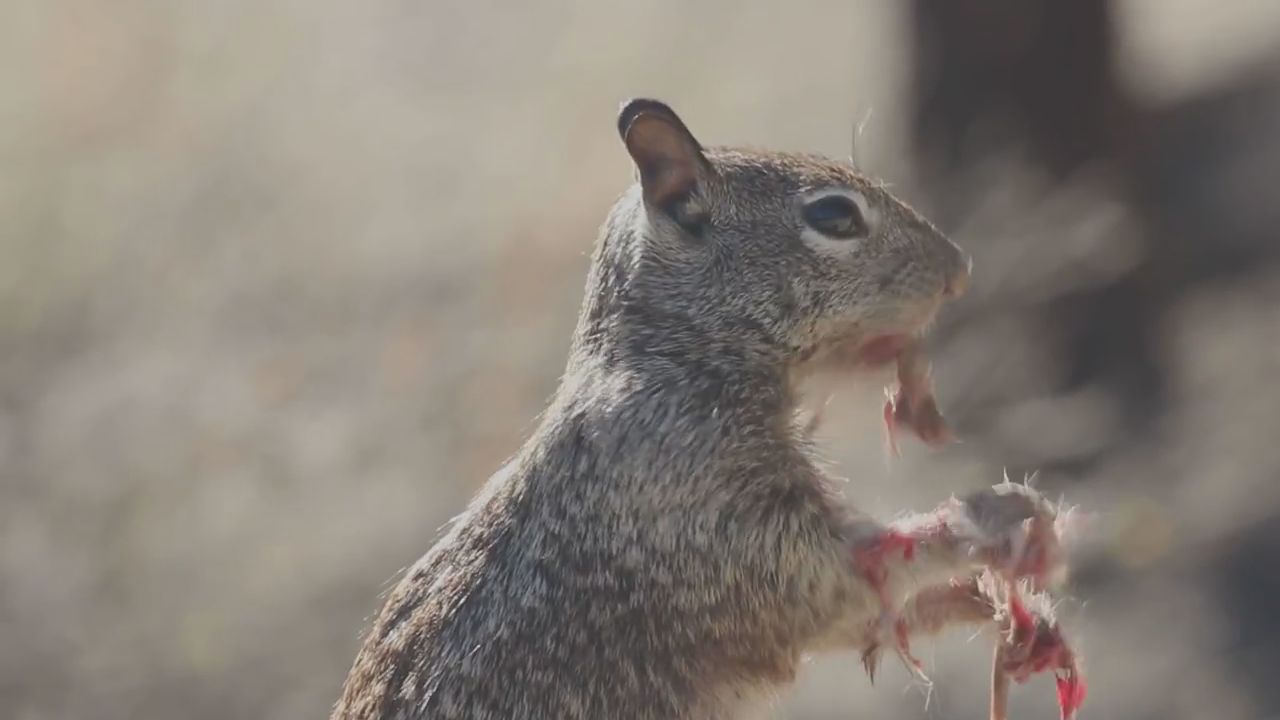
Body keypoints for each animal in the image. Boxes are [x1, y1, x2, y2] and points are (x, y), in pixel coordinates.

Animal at [332, 99, 1080, 717]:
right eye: (834, 216)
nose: (960, 271)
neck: (675, 363)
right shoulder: (726, 522)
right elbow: (852, 571)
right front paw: (994, 521)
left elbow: (877, 610)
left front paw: (989, 595)